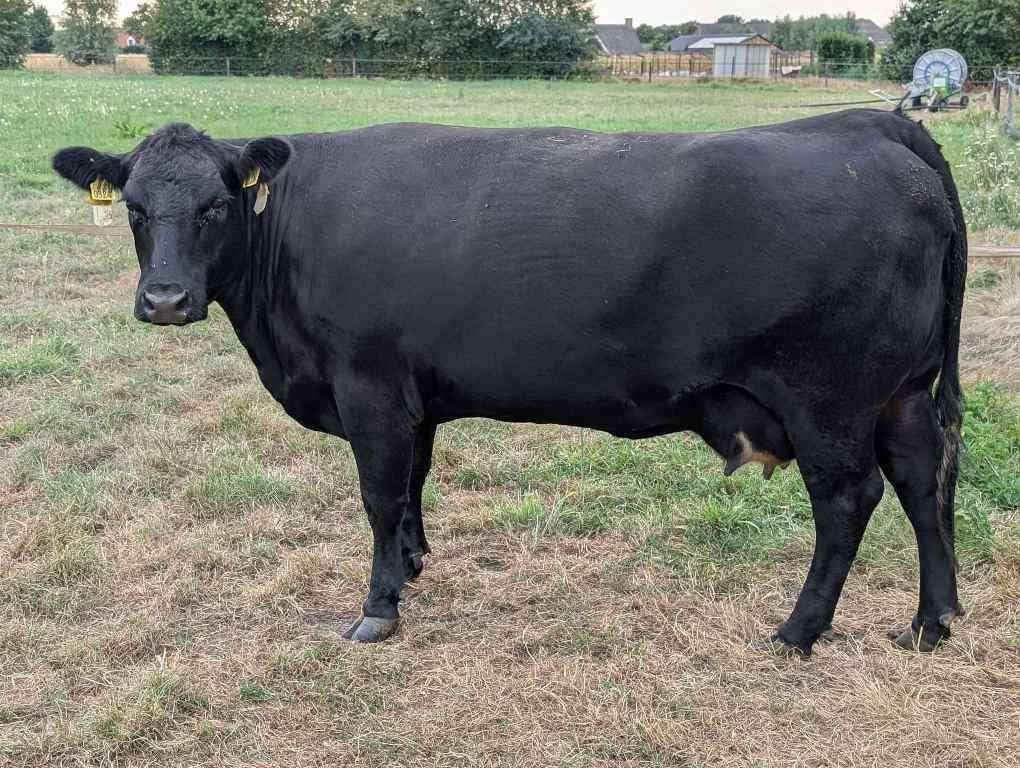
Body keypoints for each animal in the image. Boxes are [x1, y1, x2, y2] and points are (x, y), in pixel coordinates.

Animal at [53, 109, 967, 654]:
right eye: (134, 207)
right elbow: (413, 484)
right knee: (925, 482)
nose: (165, 300)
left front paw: (378, 607)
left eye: (215, 205)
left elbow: (378, 494)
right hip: (900, 396)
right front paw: (414, 563)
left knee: (849, 500)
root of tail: (872, 126)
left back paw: (799, 629)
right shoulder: (414, 394)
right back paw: (933, 620)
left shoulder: (369, 384)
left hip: (829, 401)